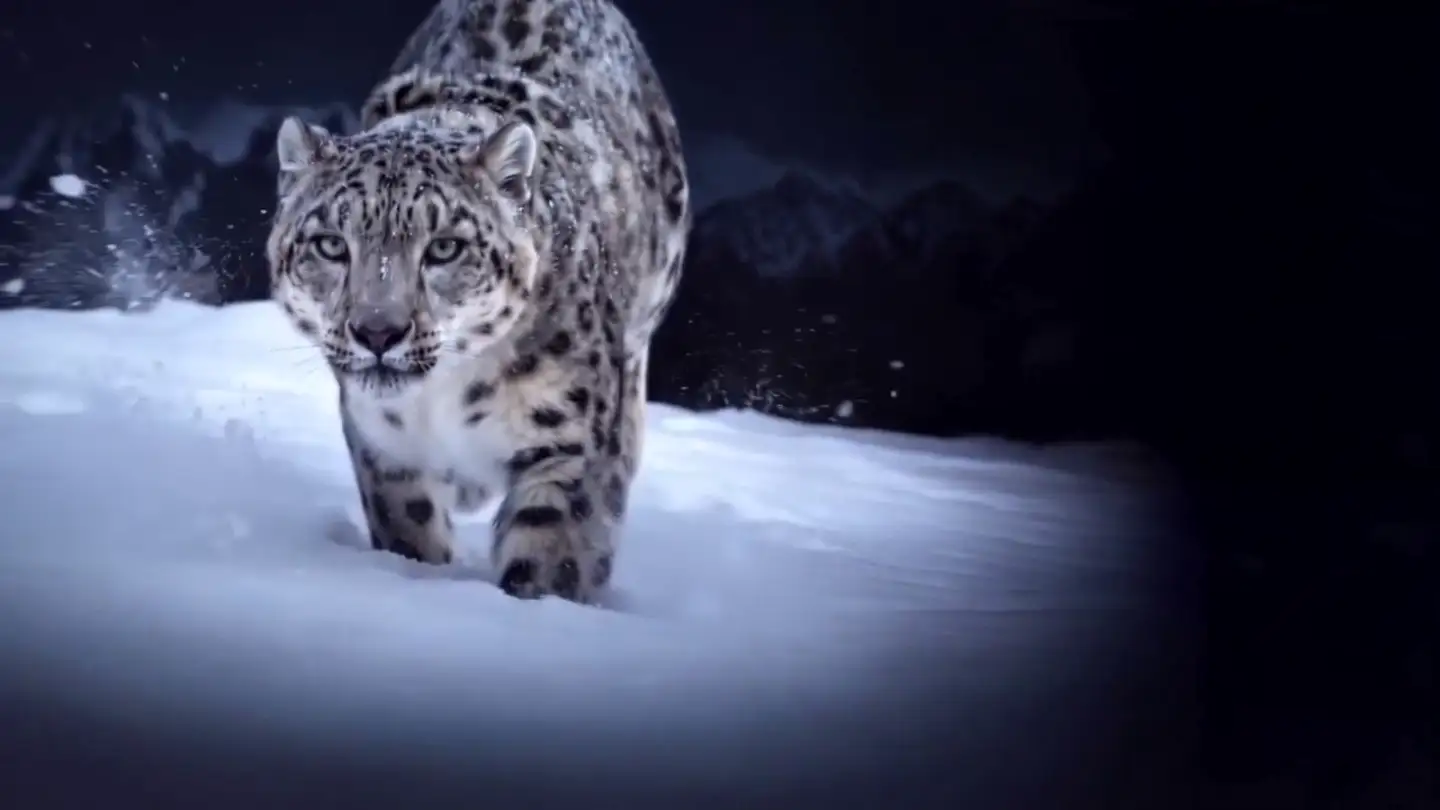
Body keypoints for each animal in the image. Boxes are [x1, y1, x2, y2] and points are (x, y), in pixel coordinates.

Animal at [265, 0, 689, 604]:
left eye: (445, 247)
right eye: (330, 244)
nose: (377, 332)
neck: (444, 399)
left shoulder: (568, 445)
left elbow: (551, 555)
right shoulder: (387, 450)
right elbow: (409, 533)